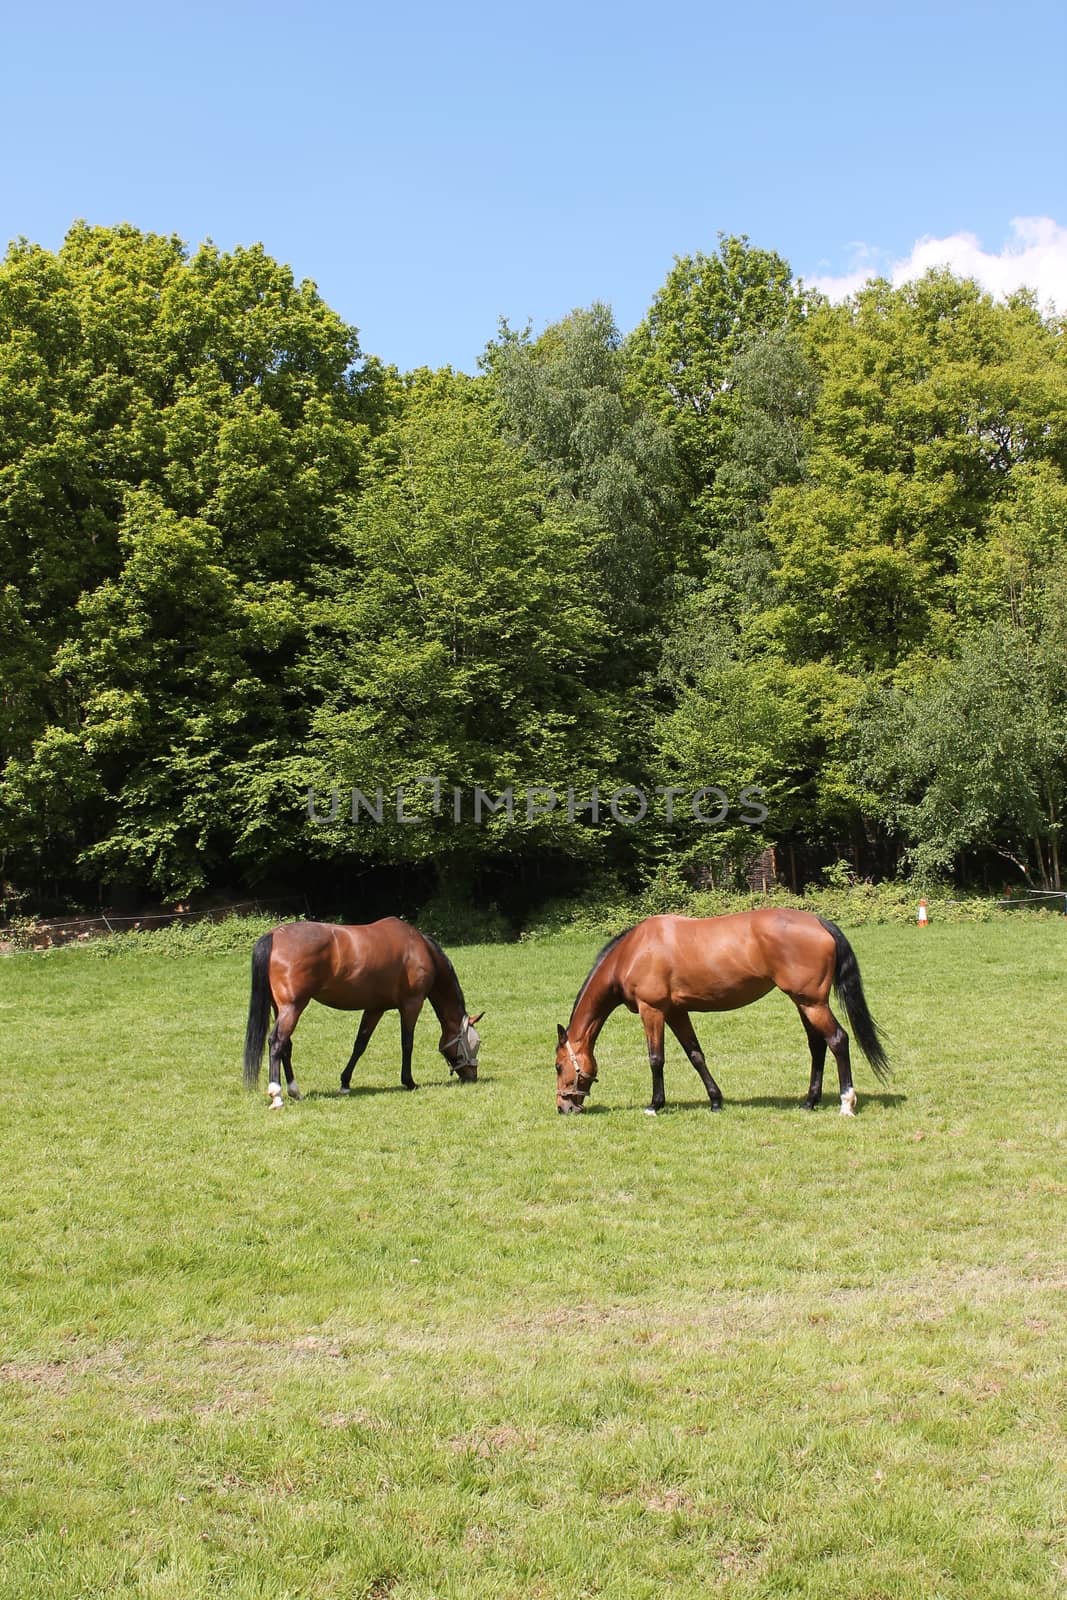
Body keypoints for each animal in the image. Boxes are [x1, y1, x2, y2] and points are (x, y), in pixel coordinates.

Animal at [244, 921, 483, 1107]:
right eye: (475, 1042)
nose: (472, 1077)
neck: (420, 948)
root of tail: (274, 936)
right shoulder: (411, 1004)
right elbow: (407, 1043)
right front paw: (409, 1081)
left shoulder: (374, 1008)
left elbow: (360, 1044)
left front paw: (345, 1083)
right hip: (293, 1007)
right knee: (277, 1042)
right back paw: (277, 1094)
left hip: (281, 1008)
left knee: (286, 1045)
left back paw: (295, 1091)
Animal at [556, 908, 889, 1120]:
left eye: (559, 1066)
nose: (563, 1108)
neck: (633, 952)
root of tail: (819, 922)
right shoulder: (676, 1011)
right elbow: (695, 1055)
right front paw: (716, 1101)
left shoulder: (652, 1011)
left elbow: (656, 1059)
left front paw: (654, 1105)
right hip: (804, 1003)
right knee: (817, 1046)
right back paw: (809, 1102)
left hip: (812, 1003)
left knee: (838, 1040)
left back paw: (846, 1103)